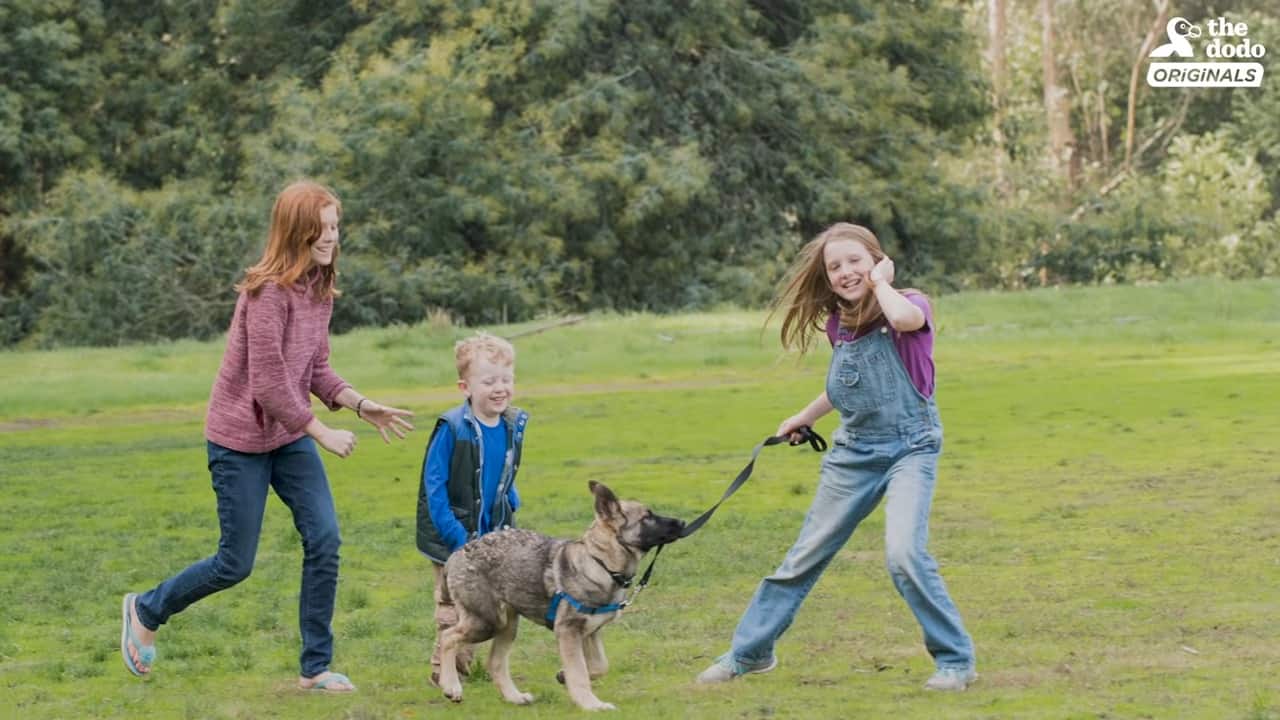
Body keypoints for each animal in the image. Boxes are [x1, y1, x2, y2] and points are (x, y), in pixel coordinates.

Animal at [437, 479, 686, 707]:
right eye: (647, 517)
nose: (683, 522)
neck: (600, 563)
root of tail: (457, 554)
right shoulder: (568, 630)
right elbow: (580, 672)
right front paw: (592, 705)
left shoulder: (590, 632)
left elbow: (598, 666)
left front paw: (564, 676)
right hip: (487, 622)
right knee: (448, 637)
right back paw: (451, 687)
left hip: (507, 625)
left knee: (495, 663)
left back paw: (515, 697)